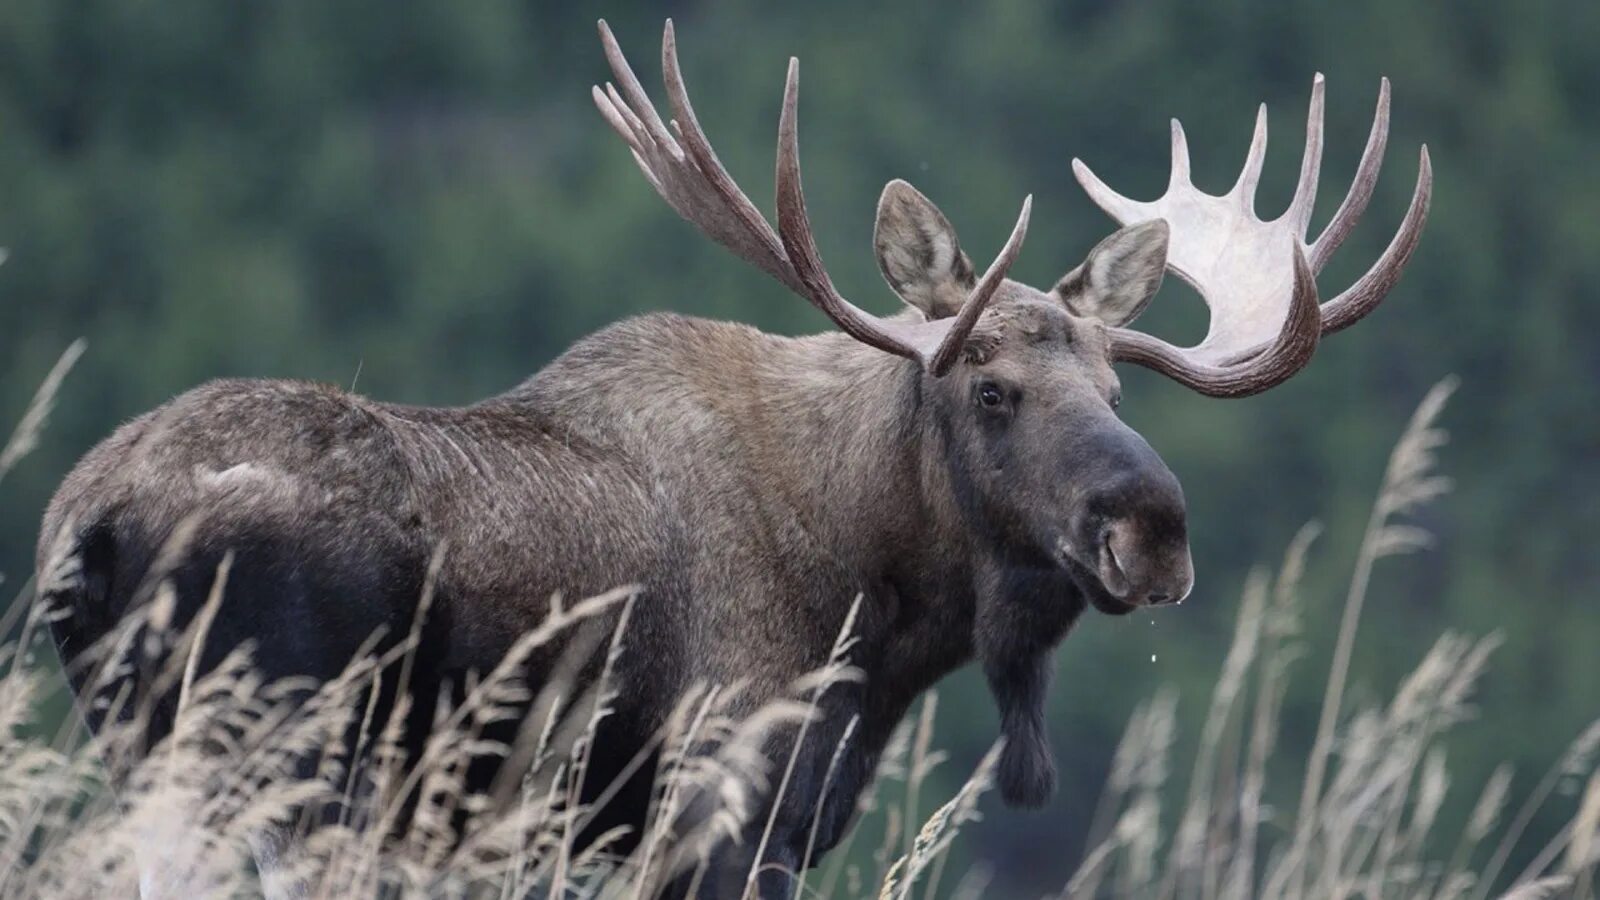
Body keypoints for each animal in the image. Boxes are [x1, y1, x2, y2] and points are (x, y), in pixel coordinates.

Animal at [40, 15, 1440, 896]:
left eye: (1108, 384)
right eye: (989, 387)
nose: (1150, 529)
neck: (886, 617)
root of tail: (87, 525)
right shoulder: (724, 810)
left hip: (159, 762)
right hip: (281, 765)